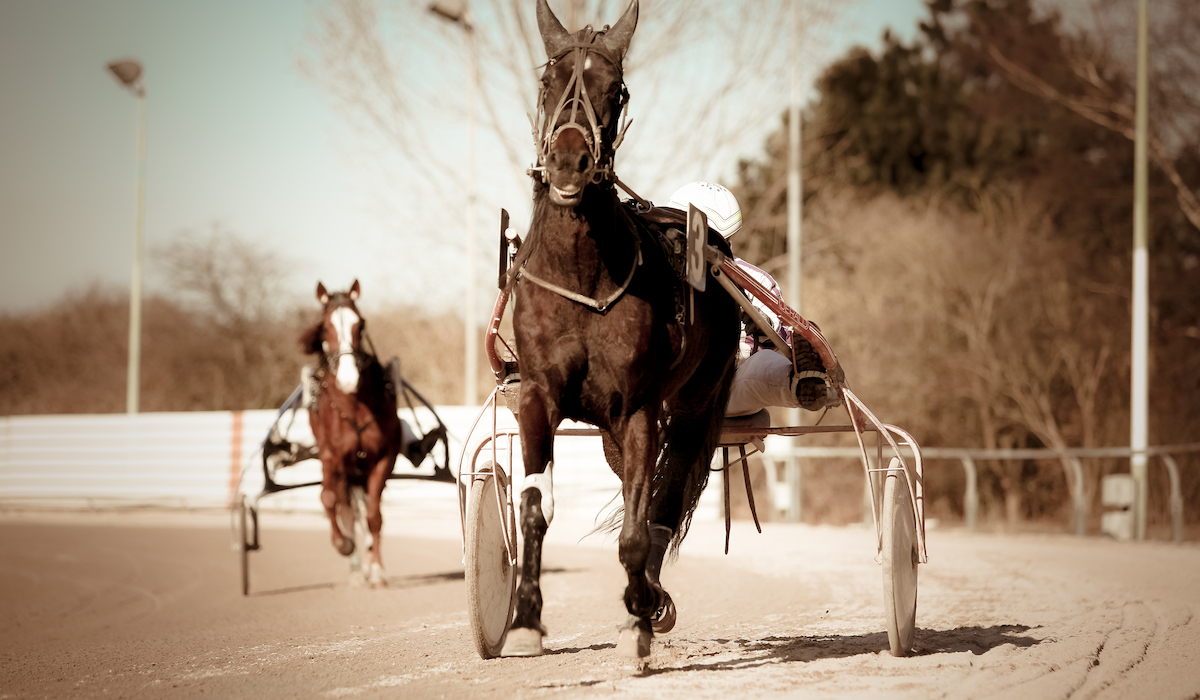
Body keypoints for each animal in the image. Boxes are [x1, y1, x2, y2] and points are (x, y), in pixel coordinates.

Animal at [301, 280, 403, 588]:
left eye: (360, 325)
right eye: (325, 327)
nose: (348, 379)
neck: (355, 406)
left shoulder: (383, 457)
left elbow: (373, 515)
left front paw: (377, 569)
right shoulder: (331, 457)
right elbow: (329, 500)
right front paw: (344, 545)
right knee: (344, 509)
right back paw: (356, 568)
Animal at [503, 0, 740, 659]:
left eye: (618, 89)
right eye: (548, 82)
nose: (569, 161)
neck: (582, 274)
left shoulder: (638, 408)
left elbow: (637, 524)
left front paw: (637, 616)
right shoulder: (538, 396)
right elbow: (534, 506)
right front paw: (525, 619)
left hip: (694, 402)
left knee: (666, 491)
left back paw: (649, 595)